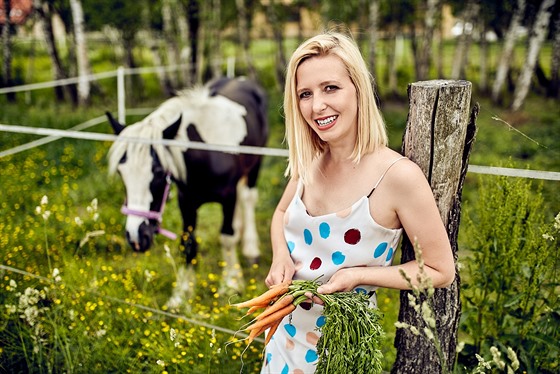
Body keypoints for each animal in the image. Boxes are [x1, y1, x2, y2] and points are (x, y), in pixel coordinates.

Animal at [109, 77, 270, 308]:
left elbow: (227, 237)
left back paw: (249, 247)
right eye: (122, 173)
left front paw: (230, 283)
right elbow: (188, 243)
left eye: (158, 172)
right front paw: (181, 294)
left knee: (248, 199)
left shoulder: (228, 197)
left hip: (255, 165)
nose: (136, 237)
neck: (206, 151)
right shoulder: (187, 201)